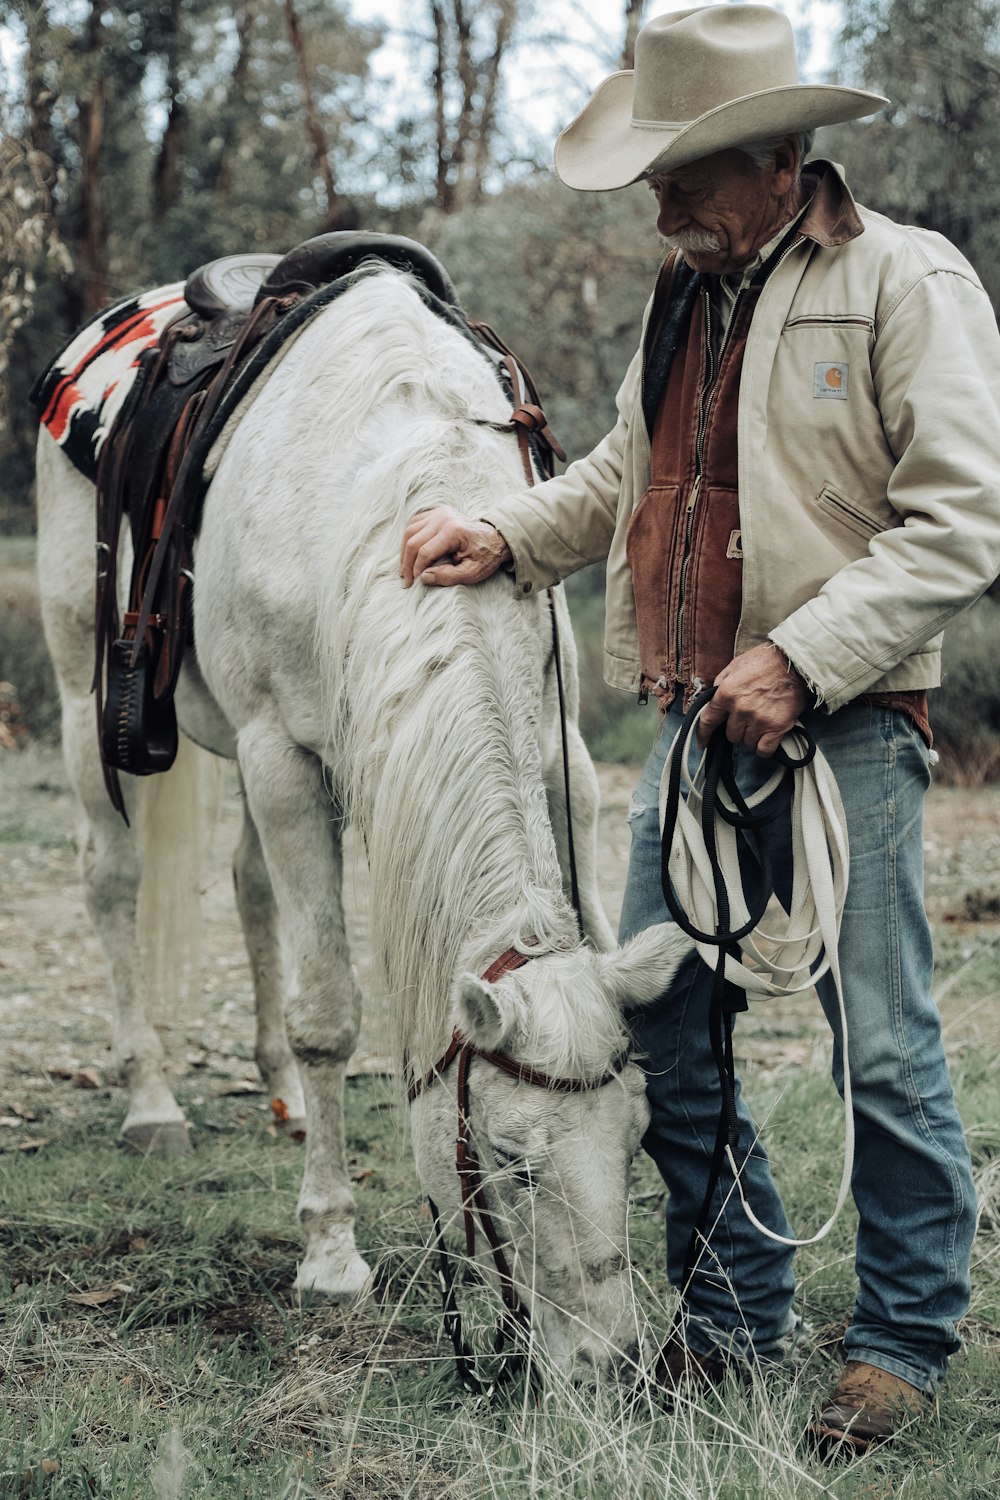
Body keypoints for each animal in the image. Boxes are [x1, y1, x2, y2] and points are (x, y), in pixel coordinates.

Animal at [41, 264, 695, 1374]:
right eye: (510, 1161)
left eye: (637, 1134)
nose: (608, 1367)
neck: (392, 473)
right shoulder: (282, 761)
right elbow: (330, 1016)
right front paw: (331, 1253)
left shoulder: (560, 757)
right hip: (87, 695)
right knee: (111, 882)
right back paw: (152, 1100)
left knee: (250, 892)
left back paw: (286, 1103)